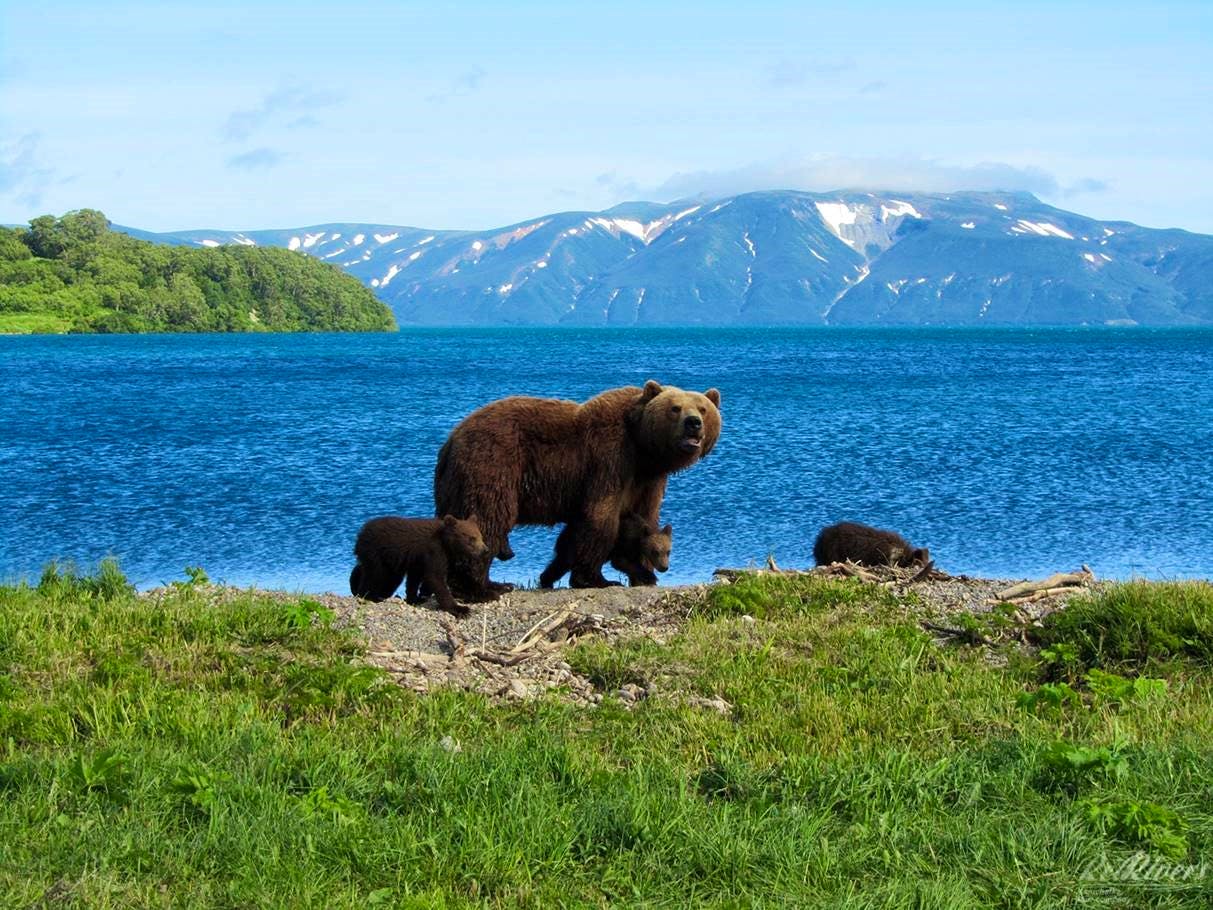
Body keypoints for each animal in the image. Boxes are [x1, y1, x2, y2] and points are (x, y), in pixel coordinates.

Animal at [349, 514, 490, 616]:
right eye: (471, 538)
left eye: (481, 536)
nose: (485, 550)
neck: (447, 545)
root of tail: (361, 532)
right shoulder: (433, 551)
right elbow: (436, 578)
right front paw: (460, 609)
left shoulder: (417, 561)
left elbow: (414, 579)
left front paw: (414, 599)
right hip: (376, 553)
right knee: (374, 575)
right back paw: (368, 596)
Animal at [539, 512, 674, 589]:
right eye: (655, 551)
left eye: (668, 551)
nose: (664, 567)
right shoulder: (625, 541)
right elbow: (621, 561)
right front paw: (651, 577)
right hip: (581, 544)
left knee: (561, 562)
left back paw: (547, 581)